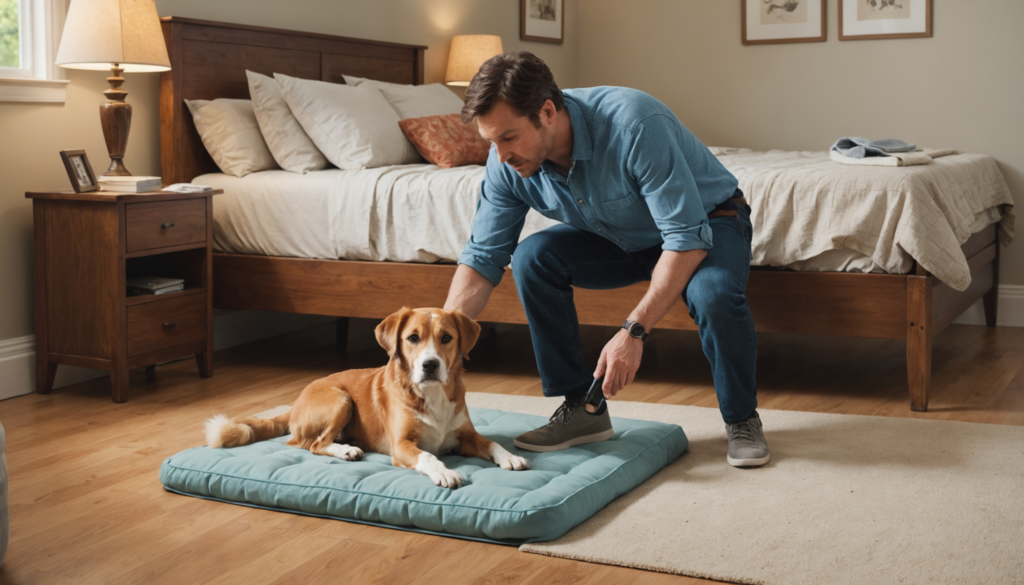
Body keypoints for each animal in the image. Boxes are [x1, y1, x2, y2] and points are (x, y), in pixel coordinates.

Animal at [204, 309, 532, 487]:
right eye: (413, 338)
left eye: (447, 338)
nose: (430, 365)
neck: (431, 394)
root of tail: (295, 403)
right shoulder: (401, 445)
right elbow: (429, 456)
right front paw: (444, 472)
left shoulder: (465, 436)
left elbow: (490, 443)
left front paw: (510, 456)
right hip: (341, 400)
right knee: (312, 444)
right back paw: (346, 450)